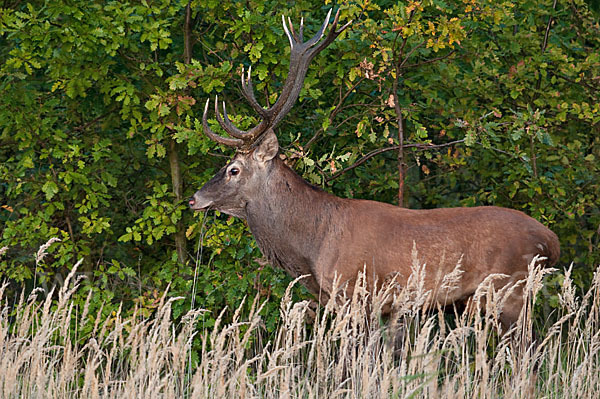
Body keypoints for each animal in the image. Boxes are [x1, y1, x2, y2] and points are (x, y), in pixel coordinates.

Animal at [190, 9, 560, 334]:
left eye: (233, 169)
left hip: (510, 291)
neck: (313, 246)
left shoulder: (356, 293)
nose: (194, 198)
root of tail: (551, 241)